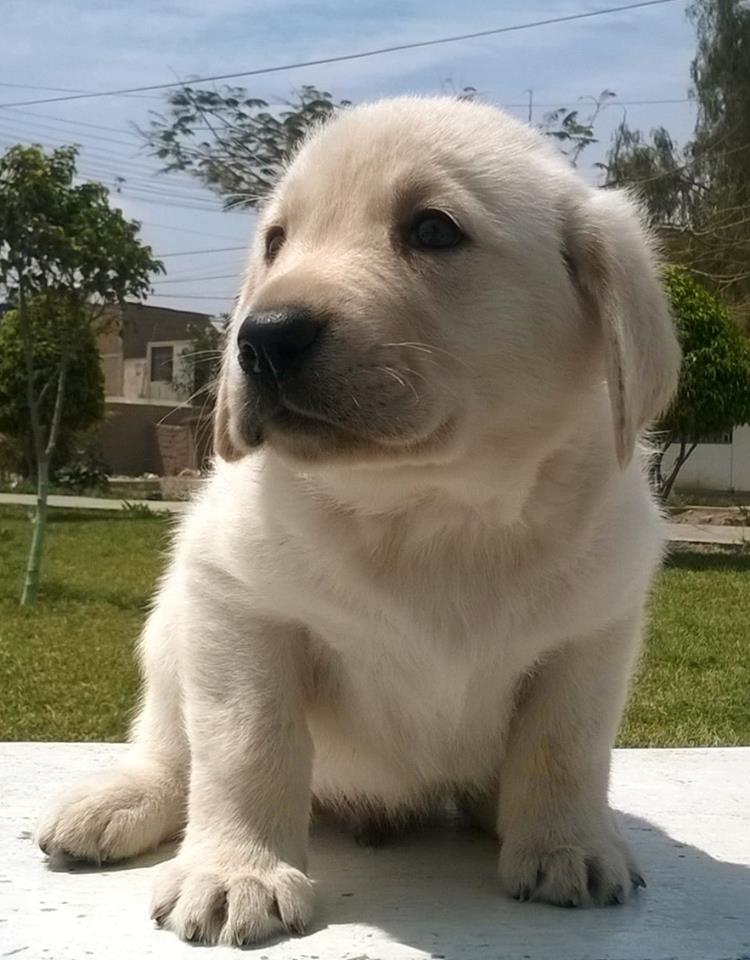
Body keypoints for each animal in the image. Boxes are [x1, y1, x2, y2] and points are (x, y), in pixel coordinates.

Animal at [36, 97, 680, 944]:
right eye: (275, 242)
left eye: (433, 229)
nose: (262, 337)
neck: (432, 508)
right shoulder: (237, 607)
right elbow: (244, 747)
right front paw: (236, 871)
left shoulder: (592, 632)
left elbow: (564, 748)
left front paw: (566, 844)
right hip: (169, 634)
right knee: (170, 747)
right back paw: (122, 800)